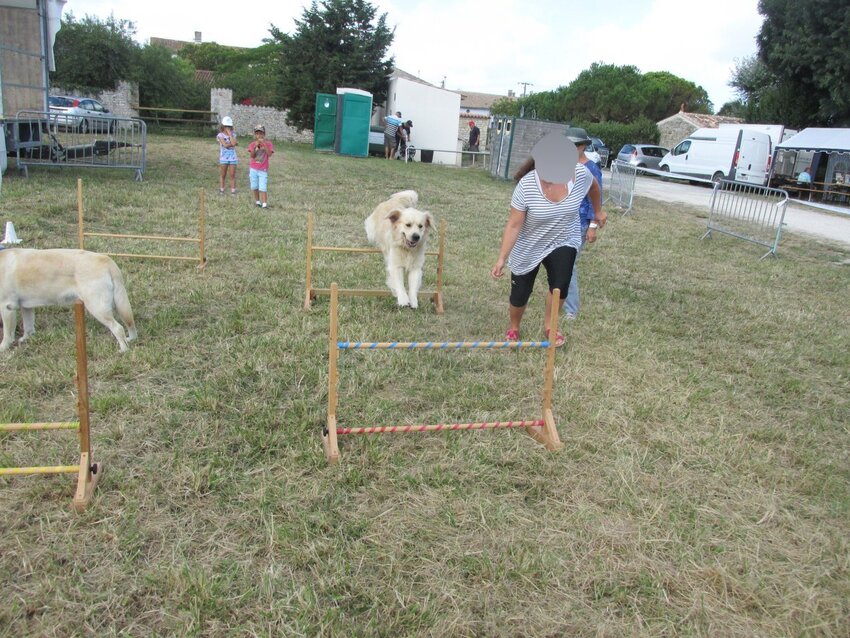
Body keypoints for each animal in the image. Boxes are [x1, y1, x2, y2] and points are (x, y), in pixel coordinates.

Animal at [0, 248, 136, 352]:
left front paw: (3, 347)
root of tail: (107, 261)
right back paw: (130, 339)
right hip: (117, 304)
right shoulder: (26, 307)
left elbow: (7, 333)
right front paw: (26, 339)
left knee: (118, 328)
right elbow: (28, 326)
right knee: (130, 323)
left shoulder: (6, 307)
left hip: (98, 308)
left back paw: (124, 350)